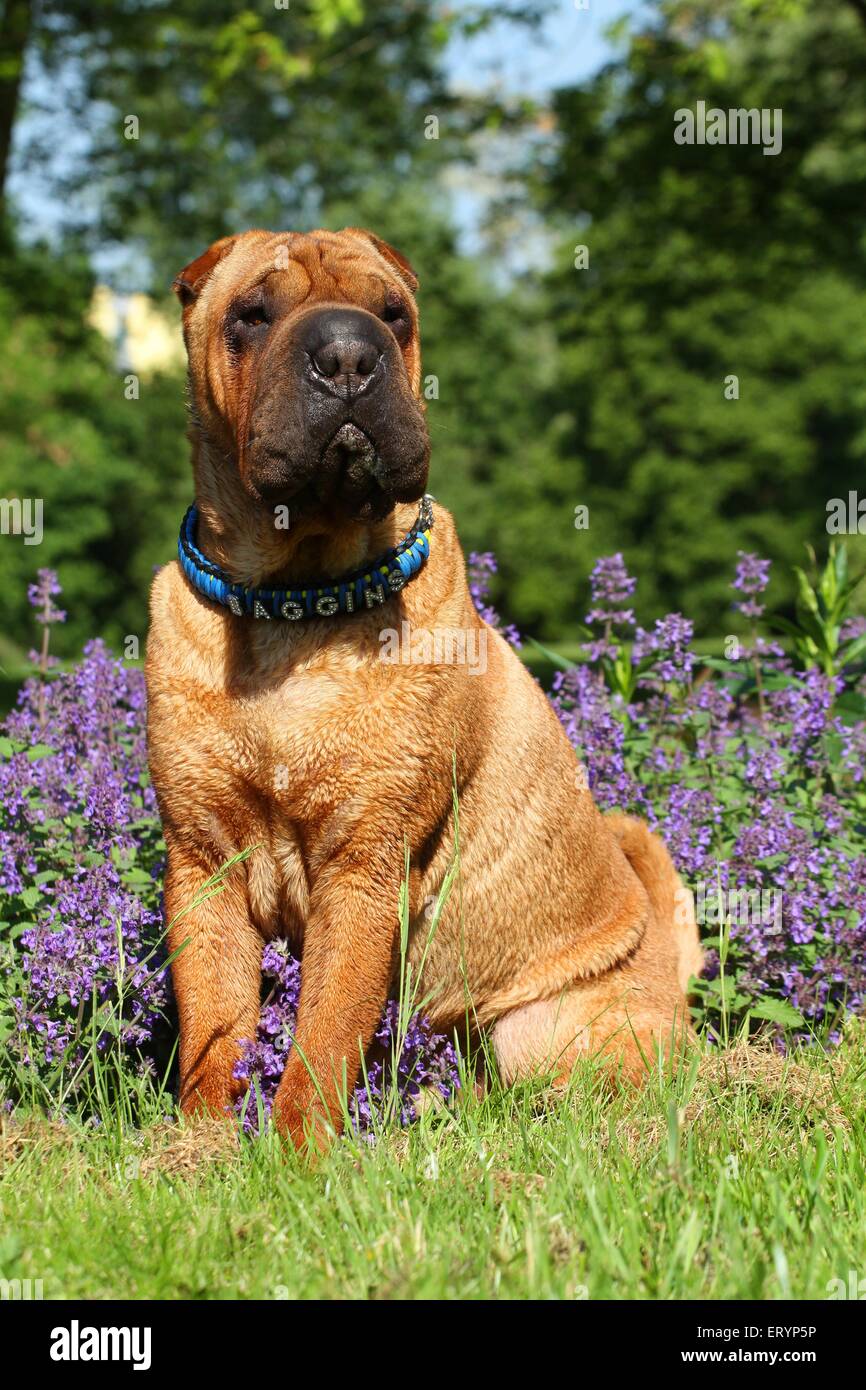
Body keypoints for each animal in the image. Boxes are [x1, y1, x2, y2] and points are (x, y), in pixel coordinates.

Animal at [147, 227, 706, 1150]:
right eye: (252, 315)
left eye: (393, 313)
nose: (347, 354)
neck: (293, 604)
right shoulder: (204, 862)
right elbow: (213, 1029)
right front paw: (197, 1148)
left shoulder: (365, 869)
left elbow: (323, 1034)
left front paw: (295, 1156)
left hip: (543, 1029)